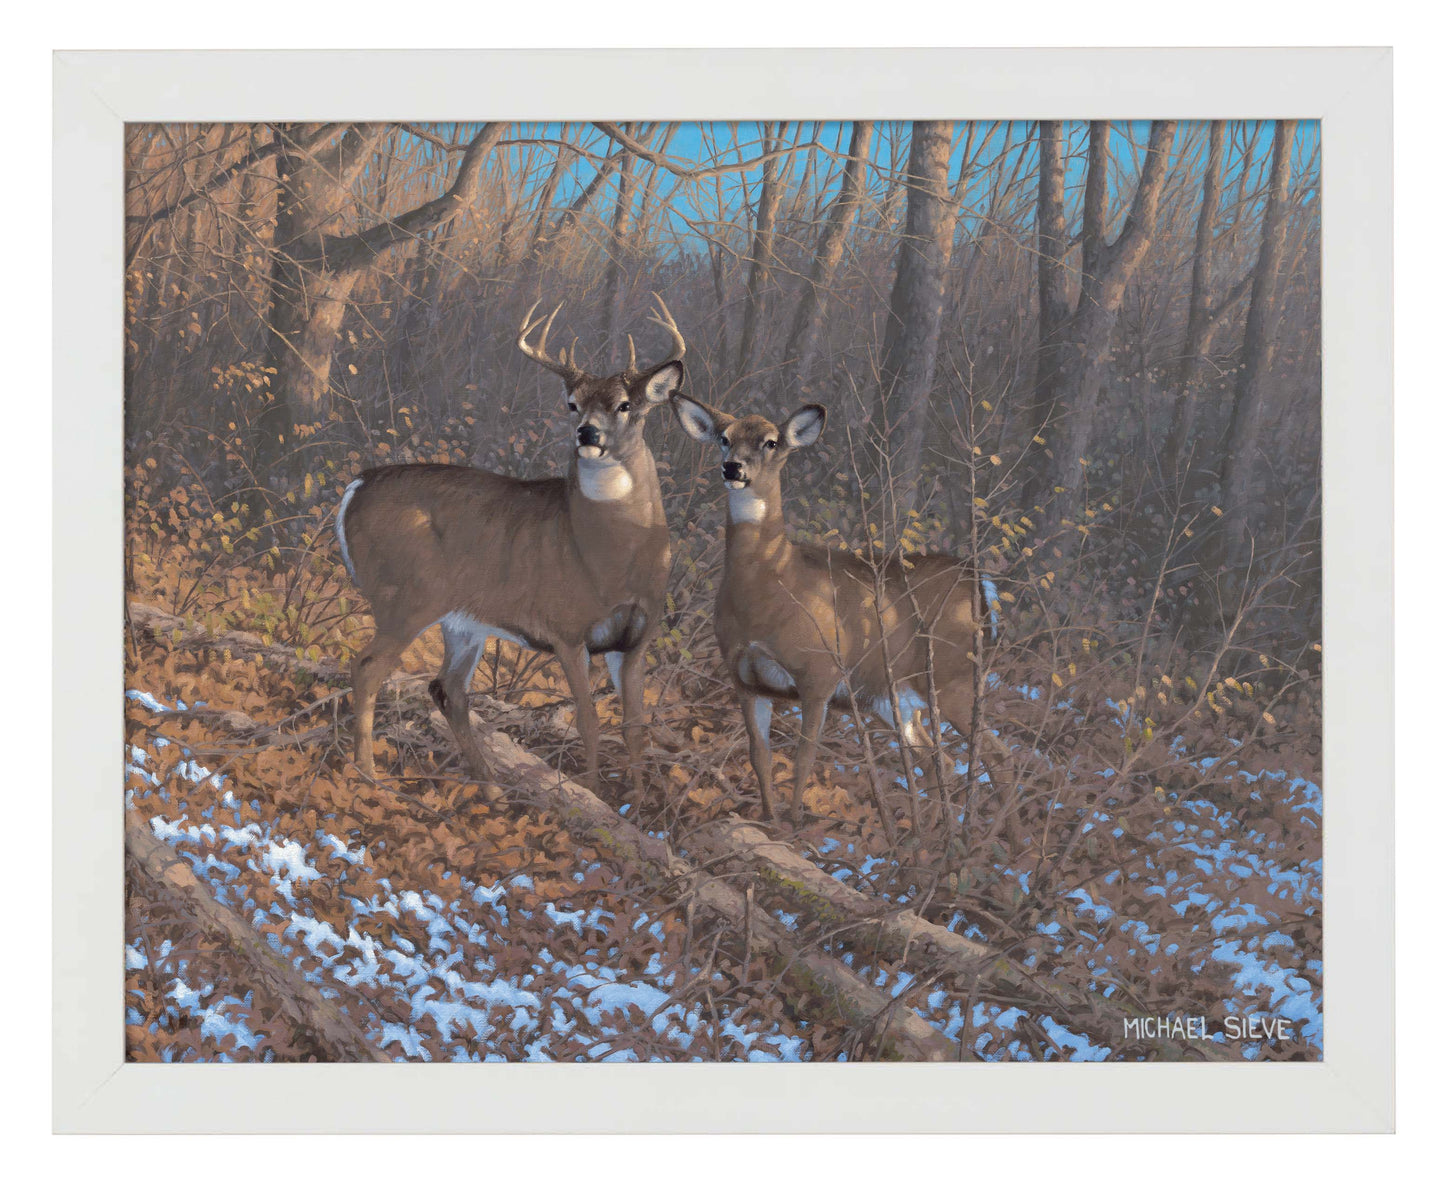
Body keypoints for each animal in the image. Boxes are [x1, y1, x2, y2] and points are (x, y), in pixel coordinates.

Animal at [336, 296, 686, 800]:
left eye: (625, 405)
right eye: (572, 404)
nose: (587, 434)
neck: (614, 560)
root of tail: (356, 487)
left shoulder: (635, 639)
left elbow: (634, 726)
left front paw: (635, 803)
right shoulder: (566, 628)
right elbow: (588, 720)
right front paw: (590, 794)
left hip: (462, 619)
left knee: (447, 688)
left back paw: (491, 788)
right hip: (406, 596)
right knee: (367, 667)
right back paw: (370, 776)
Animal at [670, 394, 1001, 824]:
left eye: (771, 442)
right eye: (724, 438)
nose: (733, 467)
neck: (772, 585)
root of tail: (978, 583)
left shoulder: (819, 673)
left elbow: (803, 759)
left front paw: (793, 824)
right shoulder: (743, 679)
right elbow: (760, 756)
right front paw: (768, 819)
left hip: (952, 676)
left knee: (995, 755)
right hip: (892, 697)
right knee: (937, 761)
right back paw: (923, 833)